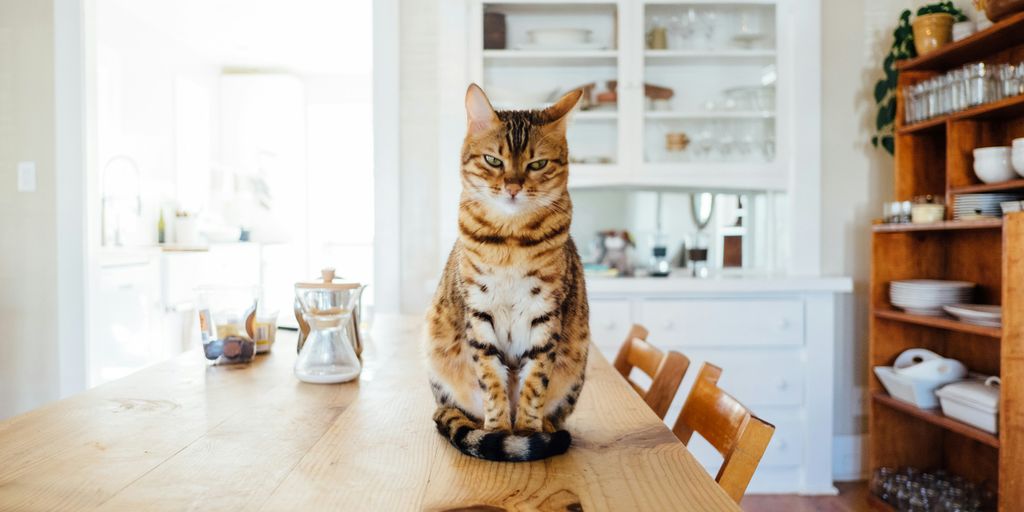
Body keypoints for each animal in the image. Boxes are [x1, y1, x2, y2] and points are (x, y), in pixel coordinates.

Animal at [425, 82, 593, 460]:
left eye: (538, 164)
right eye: (493, 160)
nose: (513, 186)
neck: (511, 241)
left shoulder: (546, 313)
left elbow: (535, 382)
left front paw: (528, 431)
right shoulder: (479, 311)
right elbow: (490, 379)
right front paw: (499, 430)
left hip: (576, 365)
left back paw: (546, 429)